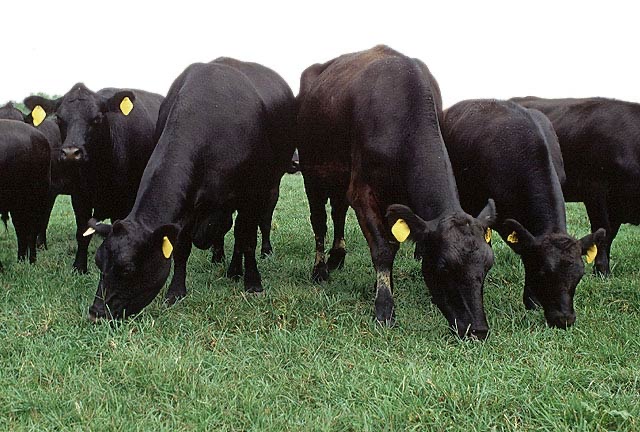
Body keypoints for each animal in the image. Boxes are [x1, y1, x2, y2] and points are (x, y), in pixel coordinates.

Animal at [0, 119, 50, 269]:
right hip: (18, 203)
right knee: (21, 229)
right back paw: (21, 260)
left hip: (36, 198)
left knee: (31, 230)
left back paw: (31, 260)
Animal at [23, 84, 164, 273]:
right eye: (59, 118)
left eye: (97, 118)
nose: (71, 153)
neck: (98, 172)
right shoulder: (79, 197)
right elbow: (82, 232)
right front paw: (79, 267)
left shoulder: (125, 200)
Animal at [86, 57, 296, 321]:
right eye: (98, 262)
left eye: (127, 269)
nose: (96, 312)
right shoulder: (185, 211)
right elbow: (181, 249)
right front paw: (176, 292)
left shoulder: (252, 193)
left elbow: (247, 239)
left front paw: (253, 283)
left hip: (268, 187)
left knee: (248, 229)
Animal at [297, 45, 496, 339]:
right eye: (443, 266)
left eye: (487, 264)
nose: (478, 330)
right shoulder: (362, 193)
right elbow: (383, 248)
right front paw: (384, 308)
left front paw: (383, 286)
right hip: (312, 172)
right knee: (319, 221)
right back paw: (320, 269)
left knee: (338, 213)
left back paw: (337, 257)